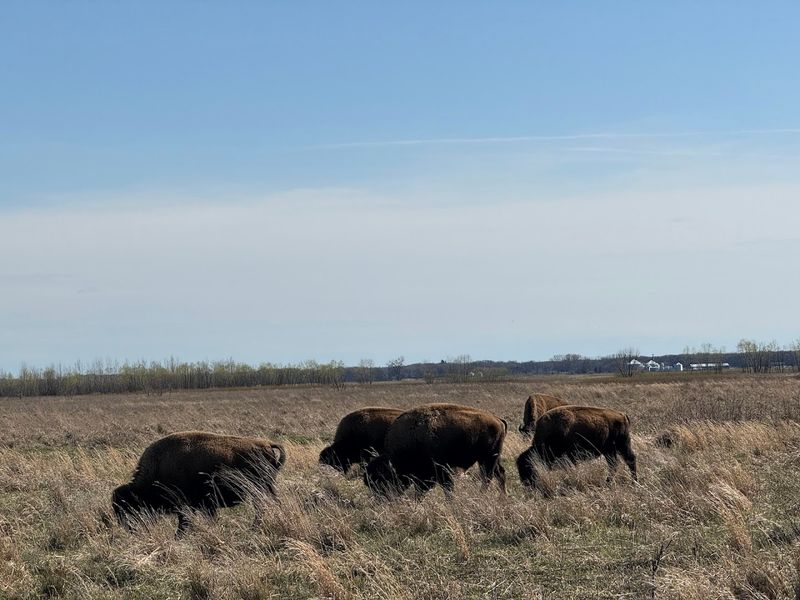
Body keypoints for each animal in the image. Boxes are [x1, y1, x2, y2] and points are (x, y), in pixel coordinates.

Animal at [112, 431, 285, 535]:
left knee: (264, 506)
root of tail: (267, 444)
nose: (128, 529)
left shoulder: (185, 506)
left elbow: (184, 523)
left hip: (262, 489)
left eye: (127, 507)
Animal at [364, 403, 507, 498]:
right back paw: (502, 497)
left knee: (487, 477)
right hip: (491, 459)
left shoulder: (442, 470)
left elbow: (447, 488)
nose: (381, 499)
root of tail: (498, 420)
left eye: (381, 481)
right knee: (499, 473)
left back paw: (482, 495)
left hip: (488, 458)